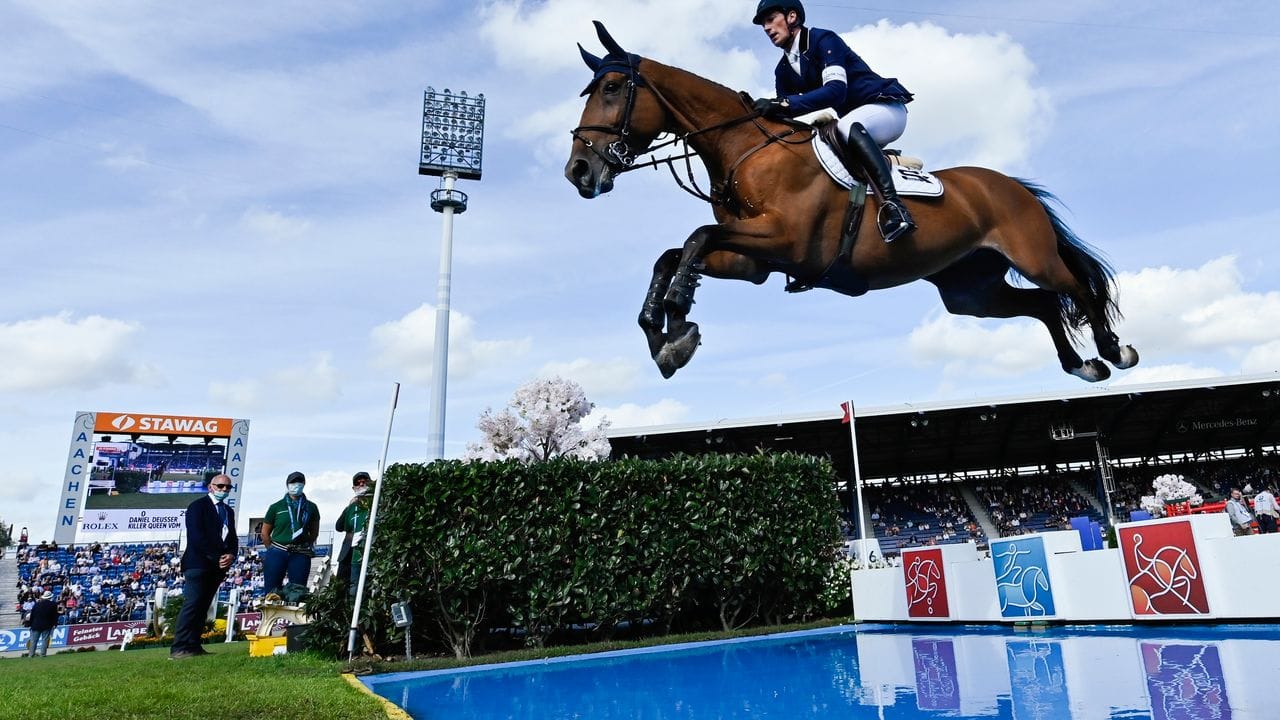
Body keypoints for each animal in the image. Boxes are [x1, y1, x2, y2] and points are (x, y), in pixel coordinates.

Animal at [565, 20, 1136, 381]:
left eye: (612, 88)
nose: (578, 171)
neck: (743, 148)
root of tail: (1011, 185)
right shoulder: (754, 261)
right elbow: (674, 253)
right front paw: (664, 335)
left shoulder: (787, 240)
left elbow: (694, 238)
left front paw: (678, 316)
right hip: (971, 292)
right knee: (1043, 304)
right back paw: (1081, 366)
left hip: (1032, 256)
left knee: (1075, 287)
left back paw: (1114, 350)